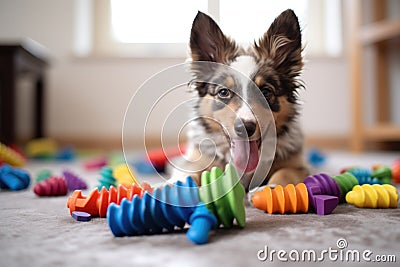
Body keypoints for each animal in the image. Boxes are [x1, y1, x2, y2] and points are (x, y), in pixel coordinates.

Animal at [167, 9, 308, 192]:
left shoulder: (298, 166)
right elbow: (187, 171)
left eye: (265, 91)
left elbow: (284, 173)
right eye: (223, 92)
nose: (245, 128)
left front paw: (272, 188)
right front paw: (171, 187)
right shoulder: (197, 158)